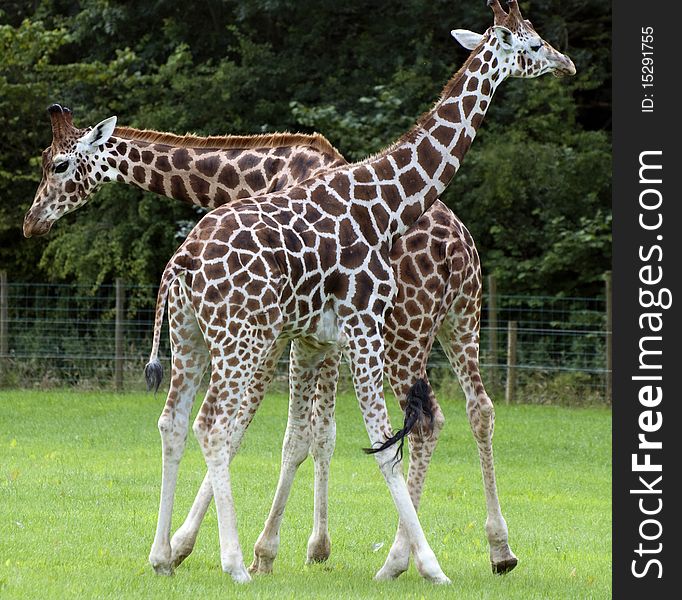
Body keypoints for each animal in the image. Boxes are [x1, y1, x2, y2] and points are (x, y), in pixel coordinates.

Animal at [26, 103, 512, 576]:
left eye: (59, 164)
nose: (32, 222)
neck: (258, 175)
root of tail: (456, 251)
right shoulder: (317, 336)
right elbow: (321, 433)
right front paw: (312, 547)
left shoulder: (288, 333)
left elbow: (268, 430)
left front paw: (222, 547)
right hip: (461, 323)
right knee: (478, 410)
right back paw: (497, 549)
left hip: (404, 335)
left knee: (427, 421)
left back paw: (401, 557)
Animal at [141, 0, 572, 580]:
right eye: (533, 43)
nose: (566, 63)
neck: (384, 204)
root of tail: (179, 263)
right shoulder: (360, 326)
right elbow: (378, 443)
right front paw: (428, 566)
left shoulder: (323, 335)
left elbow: (332, 437)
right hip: (243, 340)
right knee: (213, 425)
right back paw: (233, 562)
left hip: (192, 336)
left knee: (175, 421)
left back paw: (162, 556)